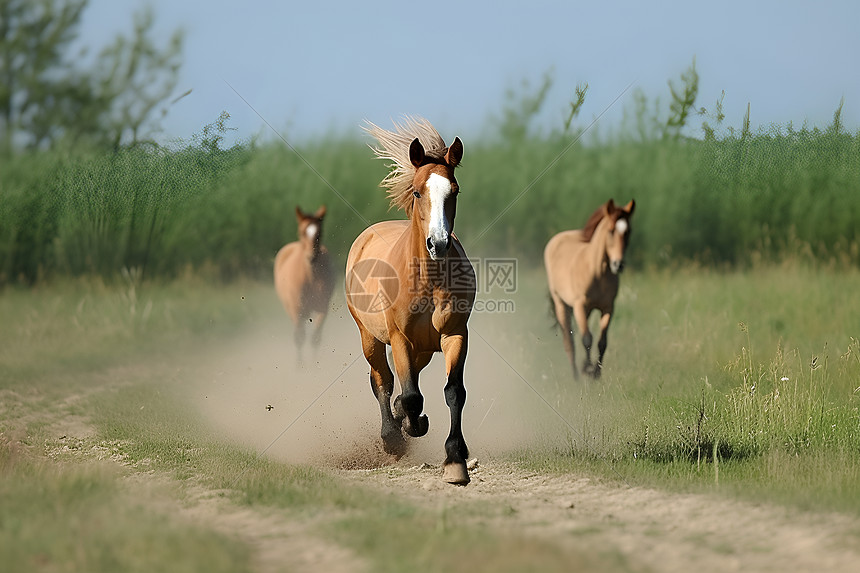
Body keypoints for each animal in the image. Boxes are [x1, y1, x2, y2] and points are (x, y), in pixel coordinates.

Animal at [274, 206, 334, 358]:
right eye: (301, 232)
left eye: (320, 232)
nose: (311, 257)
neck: (310, 278)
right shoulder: (296, 310)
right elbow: (299, 338)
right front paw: (300, 364)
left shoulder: (323, 308)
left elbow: (315, 339)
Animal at [344, 116, 478, 482]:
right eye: (418, 191)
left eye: (455, 191)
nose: (438, 243)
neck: (426, 281)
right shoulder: (400, 338)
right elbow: (411, 396)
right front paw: (411, 427)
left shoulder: (455, 335)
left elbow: (454, 392)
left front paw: (456, 458)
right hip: (370, 337)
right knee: (383, 381)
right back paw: (392, 436)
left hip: (424, 348)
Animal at [548, 199, 636, 378]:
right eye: (611, 230)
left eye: (628, 231)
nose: (618, 264)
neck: (597, 272)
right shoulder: (580, 306)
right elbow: (587, 338)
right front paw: (587, 369)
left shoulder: (608, 308)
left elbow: (602, 341)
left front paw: (596, 372)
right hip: (561, 303)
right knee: (569, 339)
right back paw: (575, 375)